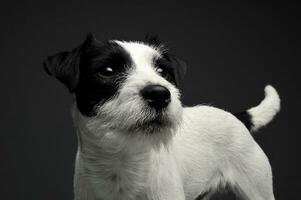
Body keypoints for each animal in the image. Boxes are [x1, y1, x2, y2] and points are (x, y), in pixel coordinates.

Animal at [44, 34, 278, 200]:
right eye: (107, 70)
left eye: (162, 71)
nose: (159, 94)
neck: (123, 163)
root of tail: (235, 117)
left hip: (258, 188)